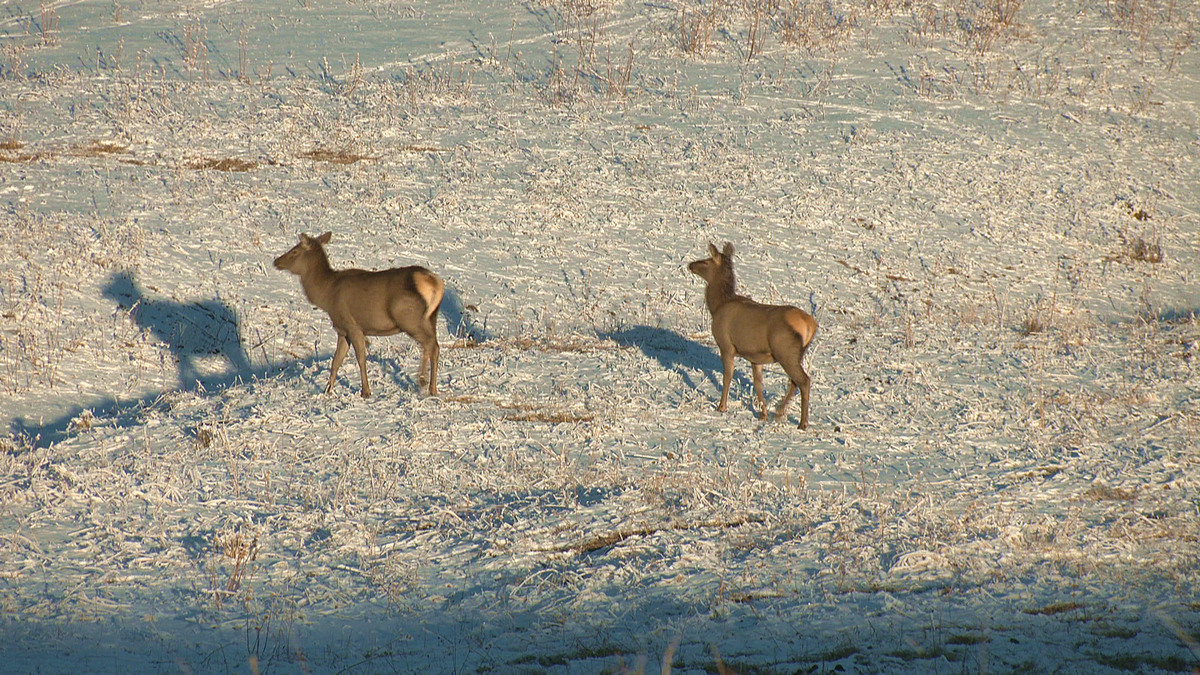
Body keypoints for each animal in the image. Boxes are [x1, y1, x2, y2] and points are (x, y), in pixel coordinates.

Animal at [274, 233, 444, 396]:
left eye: (295, 251)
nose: (276, 261)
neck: (327, 295)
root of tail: (434, 282)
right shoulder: (342, 331)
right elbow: (336, 361)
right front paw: (327, 391)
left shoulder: (353, 326)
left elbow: (361, 358)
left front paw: (365, 392)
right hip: (431, 318)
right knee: (431, 345)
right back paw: (427, 385)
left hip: (409, 317)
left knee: (431, 345)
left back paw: (427, 385)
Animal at [691, 241, 820, 425]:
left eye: (706, 261)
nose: (691, 265)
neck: (717, 306)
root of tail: (811, 325)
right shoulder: (755, 357)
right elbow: (758, 384)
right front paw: (762, 414)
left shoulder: (726, 345)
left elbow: (727, 376)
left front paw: (721, 407)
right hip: (798, 354)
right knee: (794, 381)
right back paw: (779, 412)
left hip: (785, 350)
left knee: (804, 380)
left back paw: (802, 423)